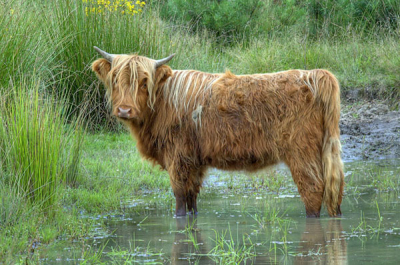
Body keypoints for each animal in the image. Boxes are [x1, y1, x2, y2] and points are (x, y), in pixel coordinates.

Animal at [90, 46, 344, 217]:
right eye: (115, 79)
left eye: (144, 82)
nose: (124, 109)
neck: (162, 103)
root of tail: (314, 74)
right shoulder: (194, 161)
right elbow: (192, 197)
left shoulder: (177, 158)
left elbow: (180, 197)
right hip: (326, 150)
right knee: (335, 188)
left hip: (302, 153)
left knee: (313, 190)